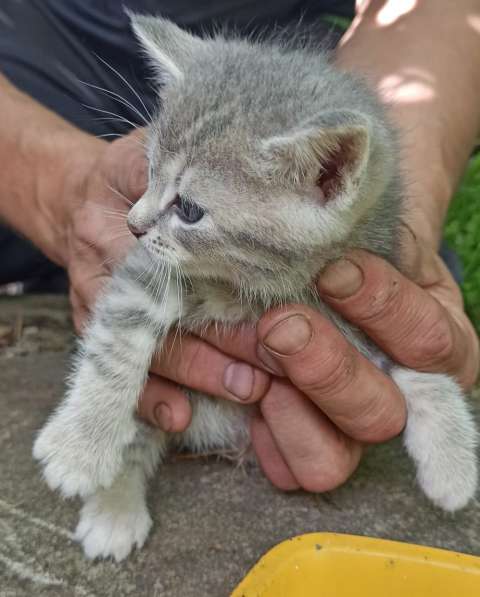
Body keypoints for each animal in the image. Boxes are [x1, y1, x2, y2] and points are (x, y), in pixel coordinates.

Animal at [32, 15, 476, 564]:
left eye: (189, 209)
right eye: (149, 171)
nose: (132, 225)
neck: (250, 284)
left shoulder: (347, 296)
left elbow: (419, 367)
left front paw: (454, 464)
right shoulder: (148, 272)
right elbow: (119, 342)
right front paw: (80, 447)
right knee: (136, 434)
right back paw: (114, 507)